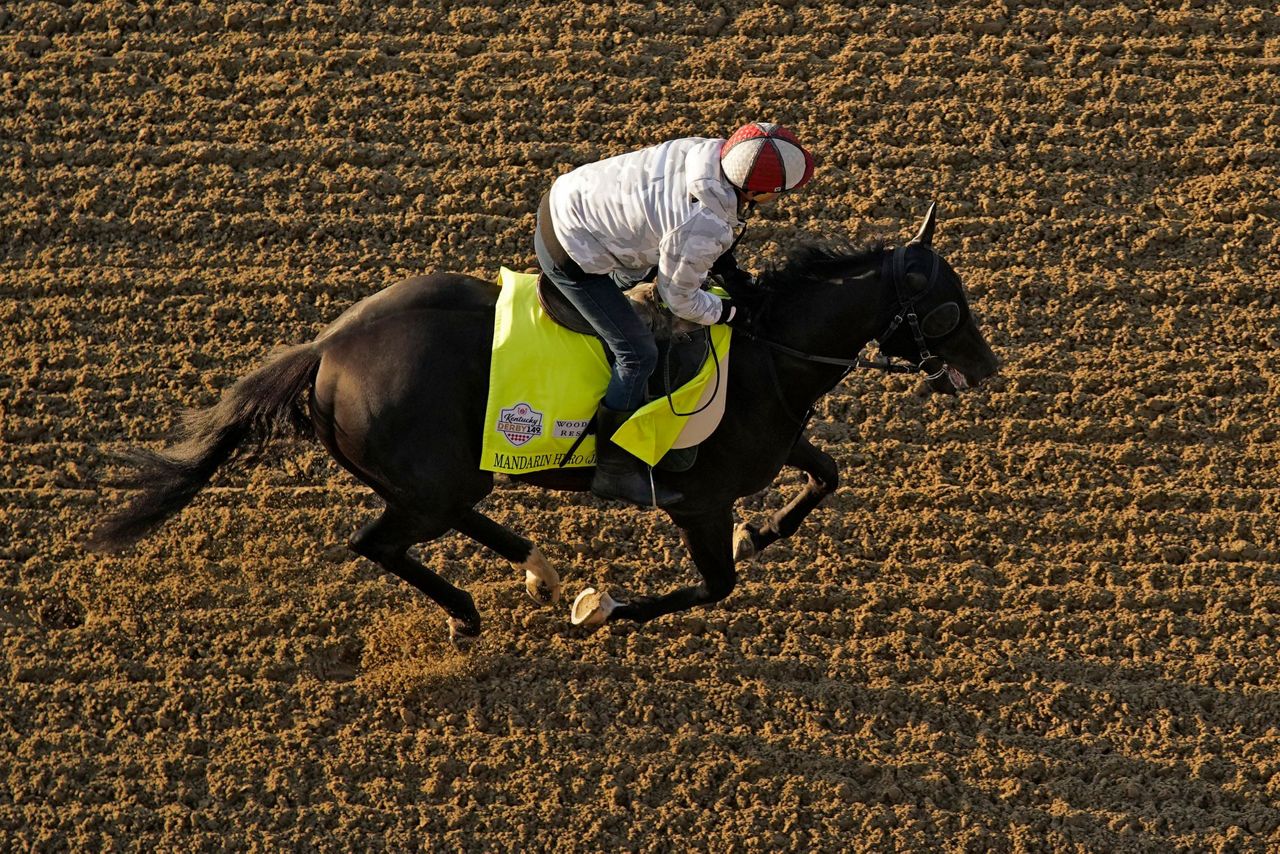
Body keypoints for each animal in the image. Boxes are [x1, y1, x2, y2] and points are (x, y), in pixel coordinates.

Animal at [91, 204, 999, 639]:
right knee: (378, 542)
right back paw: (477, 612)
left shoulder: (771, 447)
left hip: (445, 475)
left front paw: (763, 531)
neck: (767, 351)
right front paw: (605, 609)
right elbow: (715, 585)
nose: (989, 368)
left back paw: (543, 570)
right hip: (429, 482)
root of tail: (327, 350)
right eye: (949, 305)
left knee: (455, 520)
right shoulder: (698, 501)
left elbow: (826, 476)